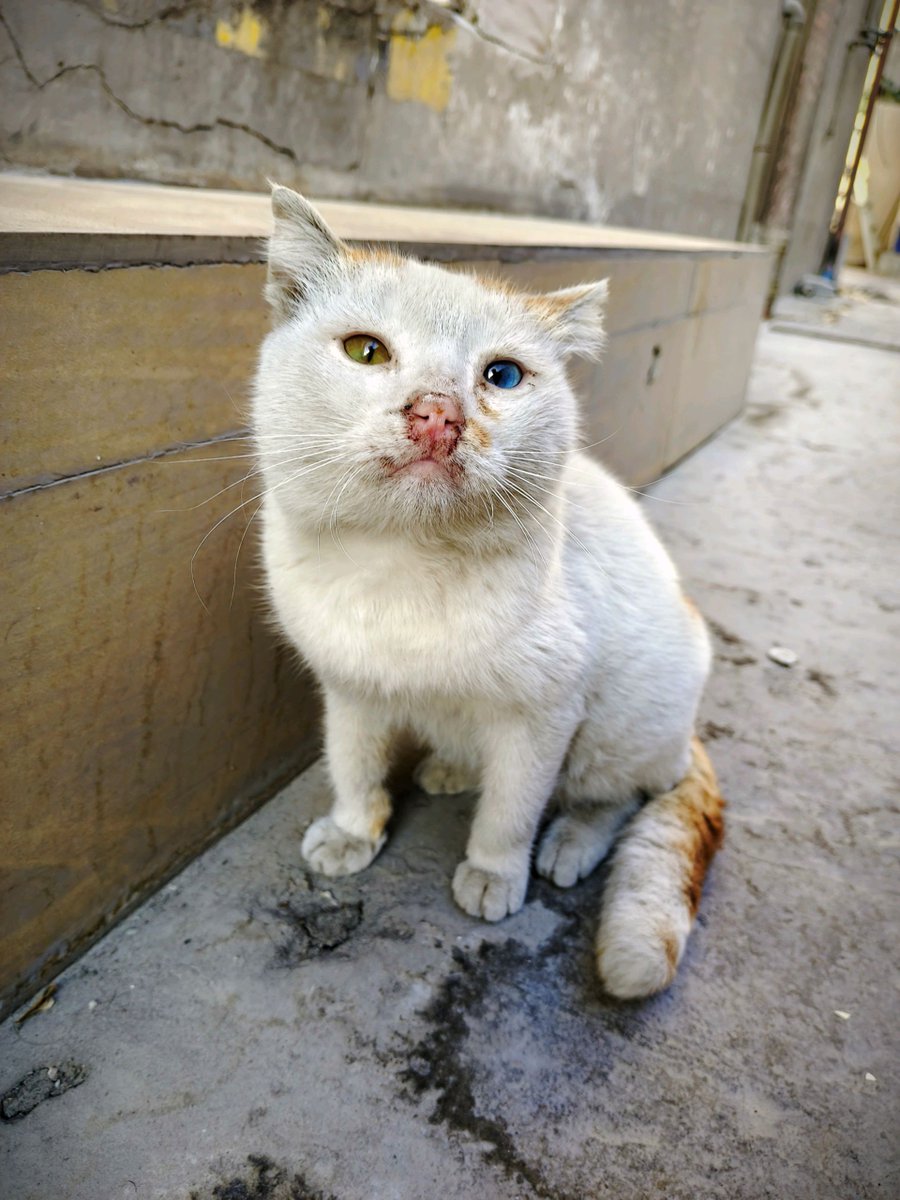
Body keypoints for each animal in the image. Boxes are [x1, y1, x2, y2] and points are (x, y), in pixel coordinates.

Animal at [252, 182, 724, 998]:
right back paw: (447, 767)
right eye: (366, 351)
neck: (399, 569)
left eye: (502, 376)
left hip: (618, 727)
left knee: (620, 795)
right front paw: (352, 830)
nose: (437, 411)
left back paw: (568, 844)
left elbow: (511, 807)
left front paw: (494, 874)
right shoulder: (349, 687)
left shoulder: (545, 715)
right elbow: (353, 762)